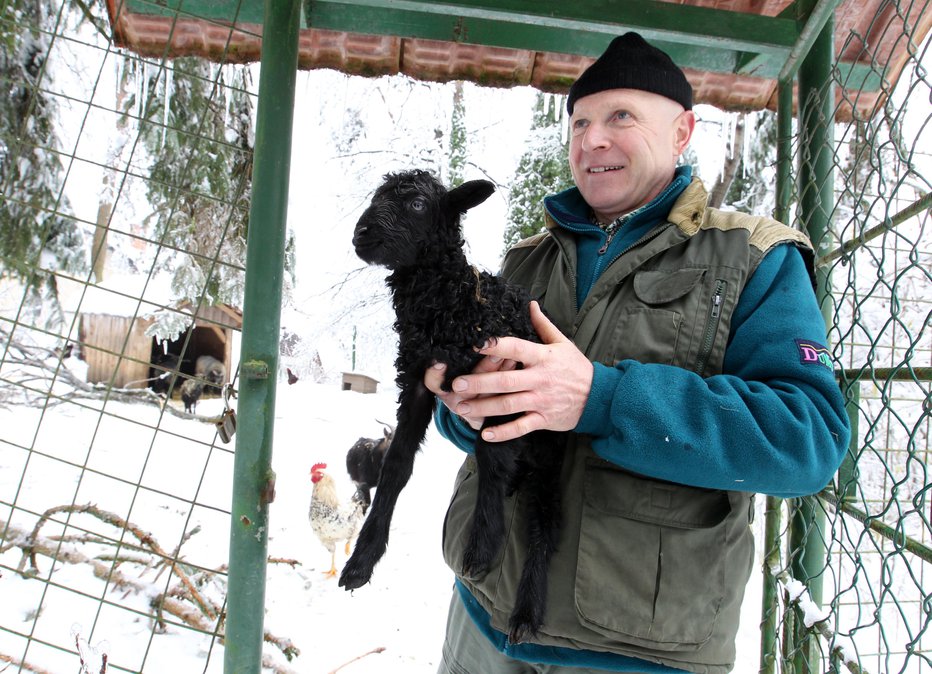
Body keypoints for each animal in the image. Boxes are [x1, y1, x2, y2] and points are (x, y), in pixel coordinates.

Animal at [338, 168, 564, 640]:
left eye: (418, 204)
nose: (362, 234)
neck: (447, 301)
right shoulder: (418, 381)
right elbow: (396, 467)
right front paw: (362, 560)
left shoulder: (501, 379)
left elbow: (492, 457)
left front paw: (481, 548)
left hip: (552, 447)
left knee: (544, 524)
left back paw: (526, 614)